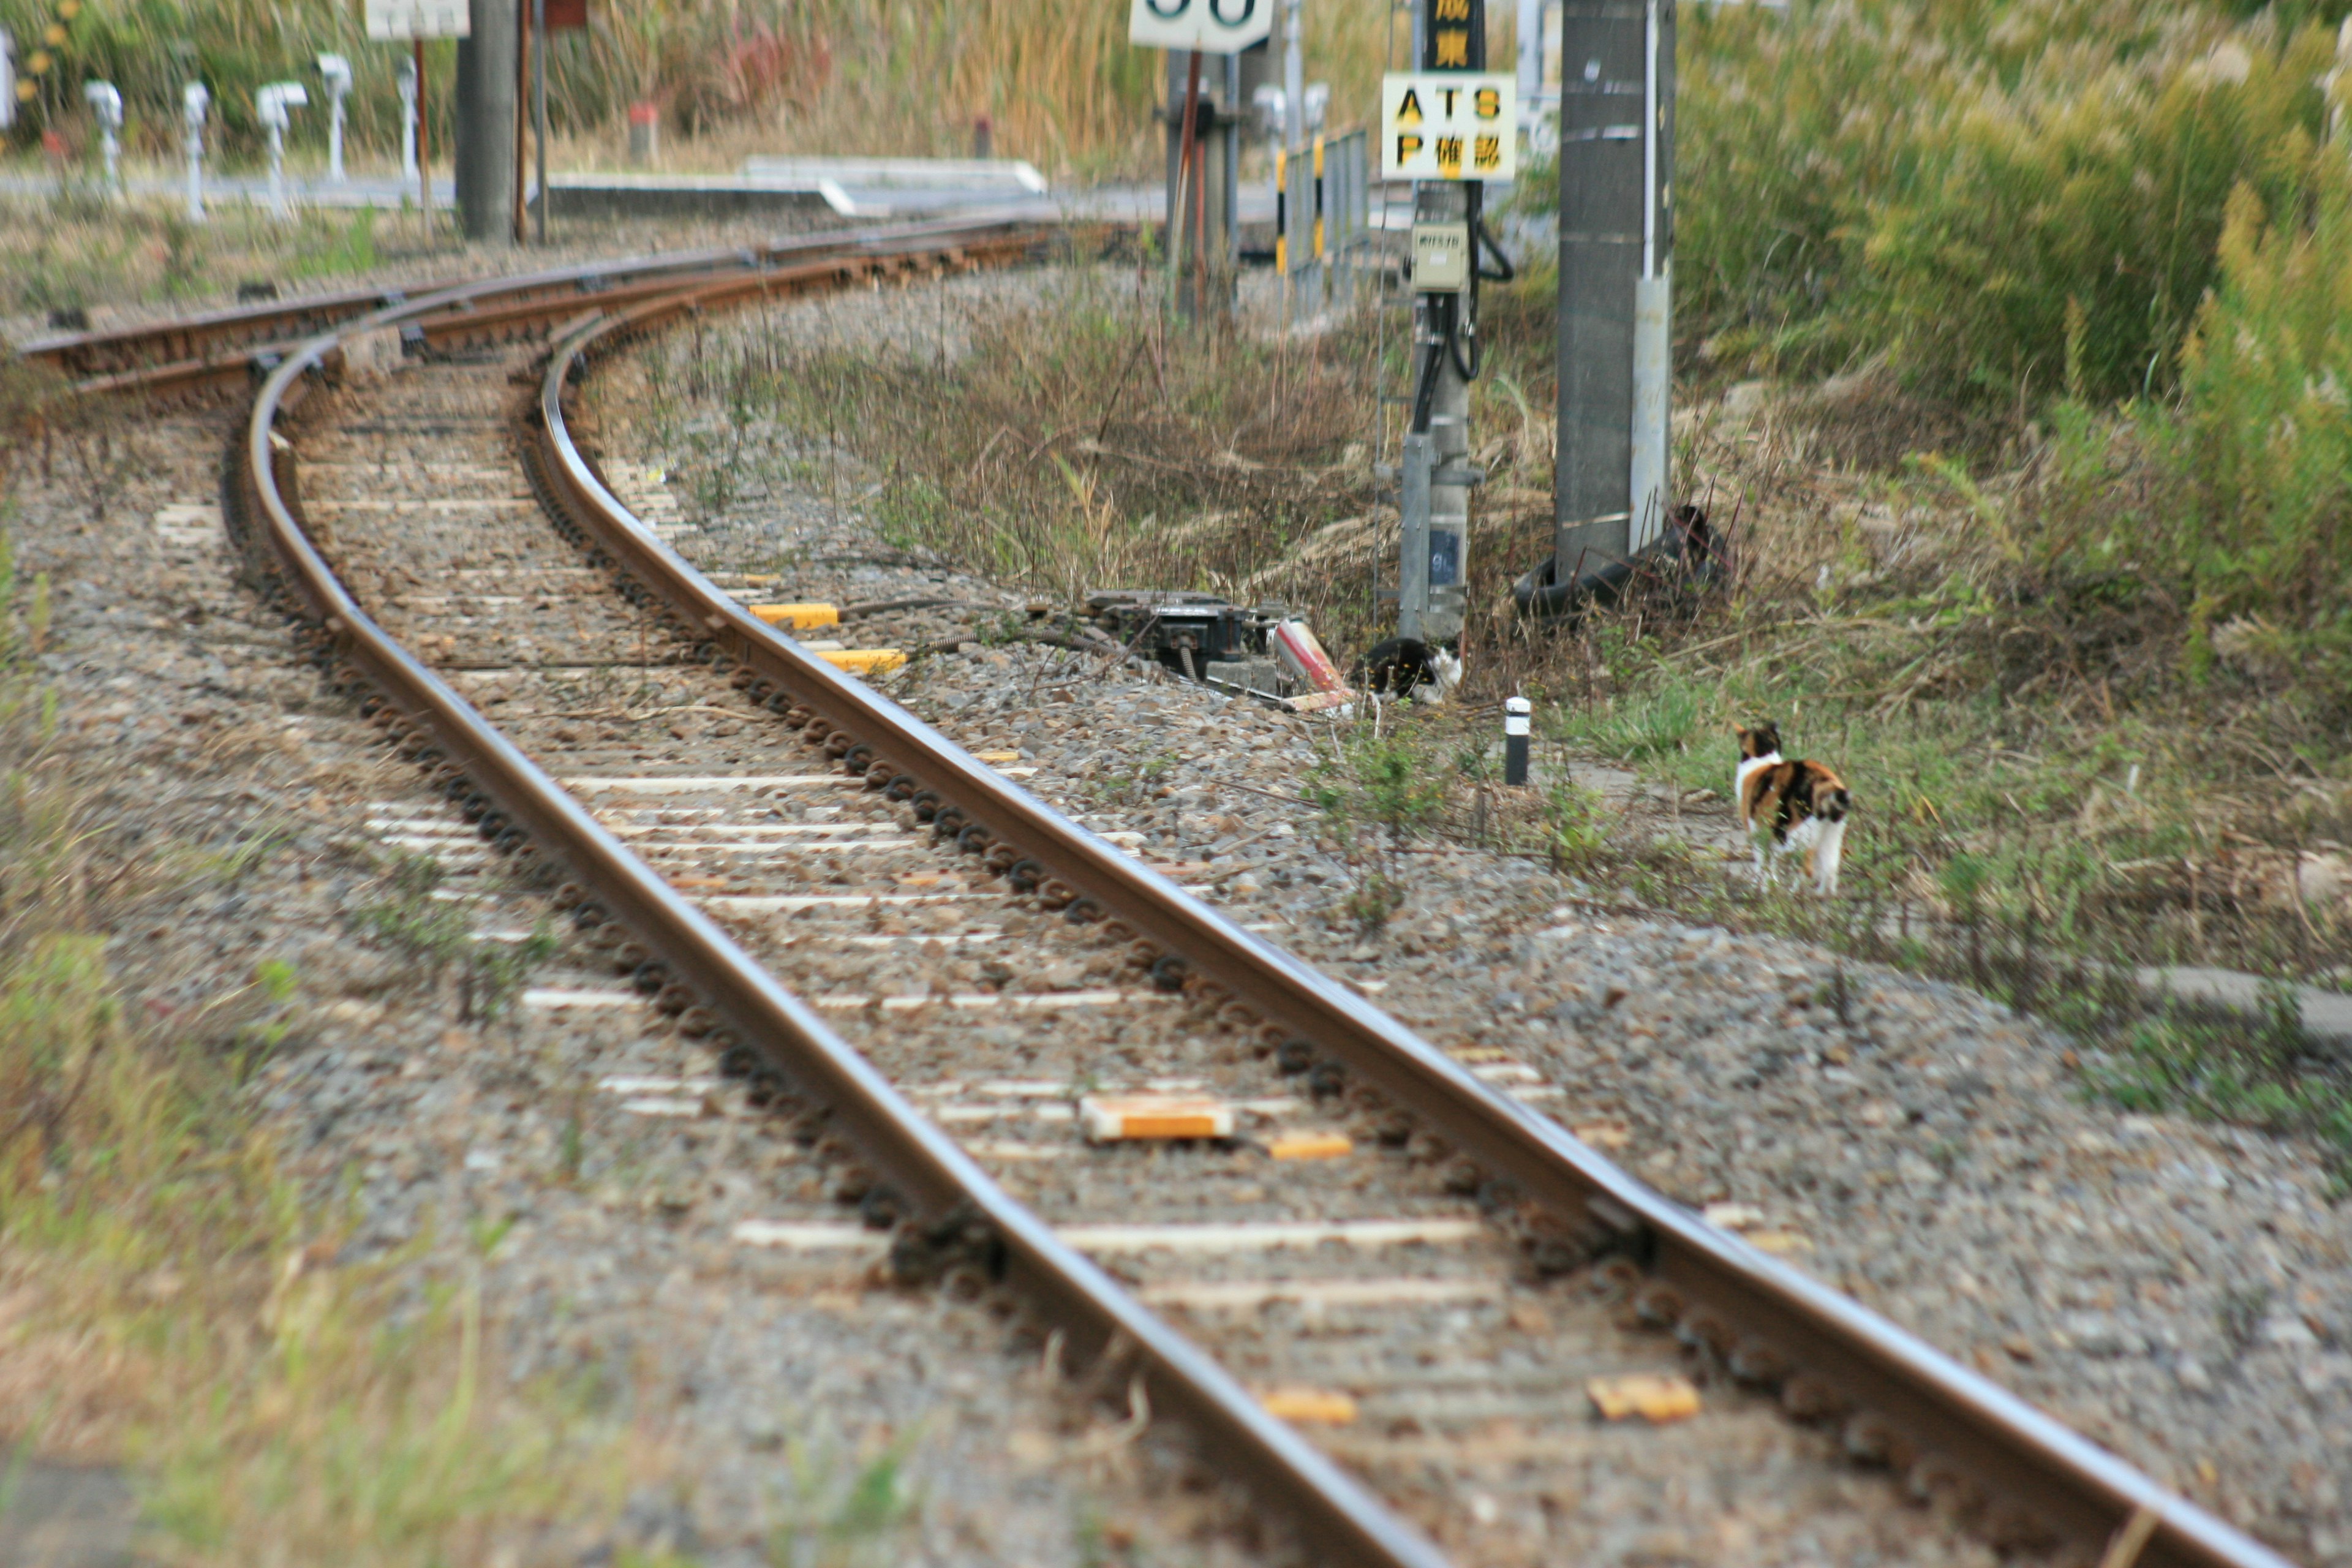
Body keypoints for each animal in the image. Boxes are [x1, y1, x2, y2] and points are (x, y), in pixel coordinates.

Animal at [1740, 724, 1844, 893]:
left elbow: (1763, 858)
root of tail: (1827, 782)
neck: (1764, 761)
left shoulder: (1756, 826)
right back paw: (1822, 895)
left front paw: (1762, 886)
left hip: (1797, 834)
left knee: (1804, 867)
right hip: (1832, 834)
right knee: (1830, 868)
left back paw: (1792, 893)